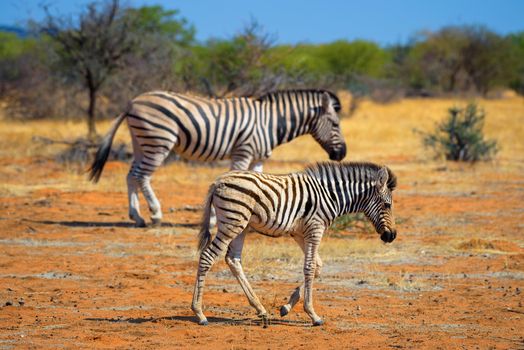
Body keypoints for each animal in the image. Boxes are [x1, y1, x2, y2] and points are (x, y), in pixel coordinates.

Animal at [88, 89, 346, 228]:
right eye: (335, 124)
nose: (342, 154)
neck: (272, 122)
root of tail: (133, 102)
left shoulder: (258, 157)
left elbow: (260, 186)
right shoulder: (243, 151)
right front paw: (215, 221)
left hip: (141, 141)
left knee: (131, 175)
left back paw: (137, 217)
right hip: (158, 140)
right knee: (142, 176)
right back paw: (155, 214)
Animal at [192, 161, 398, 326]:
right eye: (387, 205)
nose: (392, 236)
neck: (331, 196)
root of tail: (217, 182)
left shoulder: (300, 233)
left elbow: (317, 266)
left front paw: (286, 307)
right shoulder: (315, 229)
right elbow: (310, 267)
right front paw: (313, 315)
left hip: (241, 225)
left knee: (233, 259)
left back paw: (261, 310)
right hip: (232, 222)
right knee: (208, 256)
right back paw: (200, 313)